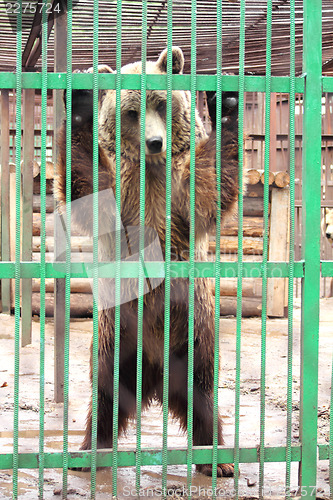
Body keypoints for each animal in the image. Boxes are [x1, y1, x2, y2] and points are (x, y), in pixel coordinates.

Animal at [56, 47, 239, 476]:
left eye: (161, 103)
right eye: (131, 112)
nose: (155, 142)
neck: (150, 171)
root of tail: (154, 379)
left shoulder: (180, 195)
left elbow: (210, 186)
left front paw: (226, 104)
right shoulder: (120, 194)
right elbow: (85, 183)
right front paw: (81, 102)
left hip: (195, 329)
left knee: (204, 391)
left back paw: (217, 460)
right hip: (116, 333)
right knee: (104, 392)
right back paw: (90, 451)